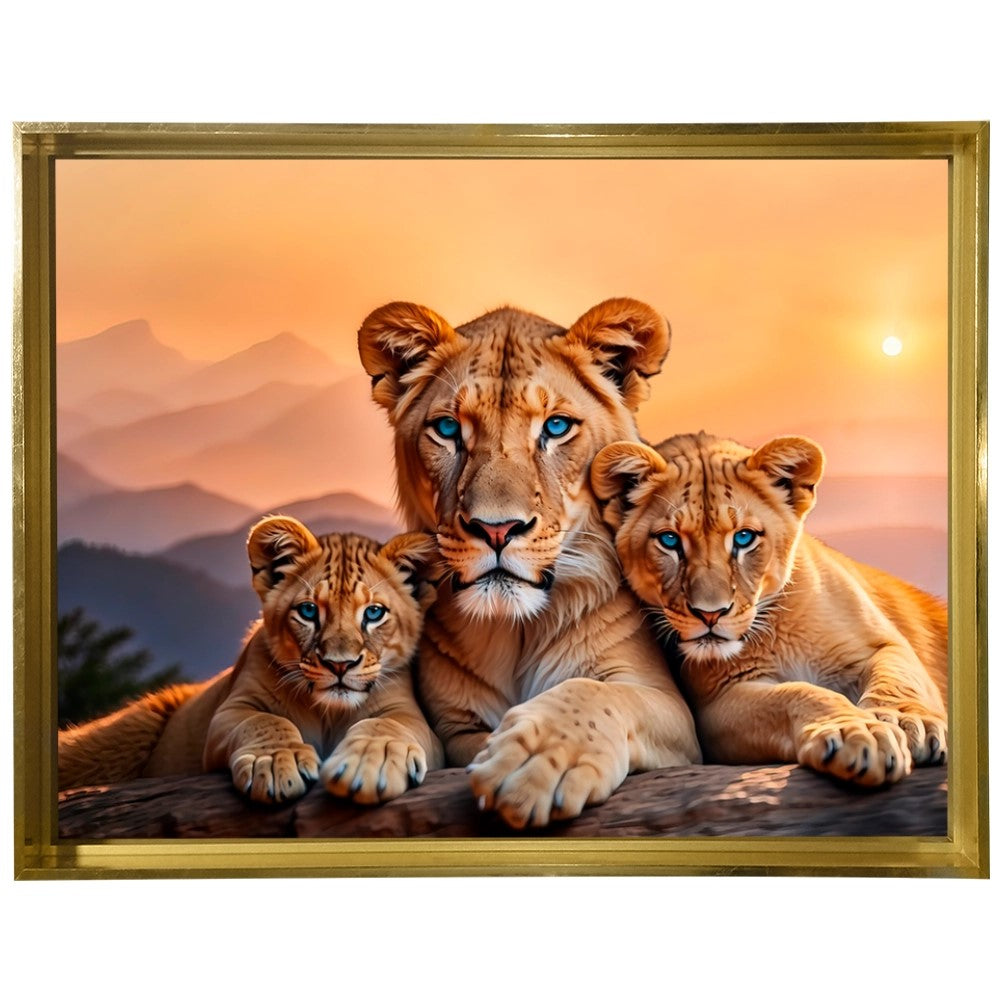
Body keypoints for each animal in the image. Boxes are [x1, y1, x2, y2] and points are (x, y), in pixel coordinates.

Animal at [59, 518, 444, 804]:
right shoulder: (228, 712)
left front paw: (368, 764)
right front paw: (275, 763)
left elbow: (385, 726)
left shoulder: (414, 718)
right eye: (308, 611)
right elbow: (264, 721)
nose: (339, 665)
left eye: (374, 613)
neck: (328, 712)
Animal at [357, 298, 701, 828]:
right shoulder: (454, 723)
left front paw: (537, 759)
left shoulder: (672, 711)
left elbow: (599, 692)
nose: (496, 529)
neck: (516, 630)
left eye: (556, 427)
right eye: (448, 429)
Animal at [591, 431, 948, 786]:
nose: (710, 614)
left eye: (744, 537)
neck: (776, 627)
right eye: (669, 540)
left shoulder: (883, 644)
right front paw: (855, 732)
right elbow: (797, 693)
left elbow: (897, 677)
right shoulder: (717, 704)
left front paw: (907, 723)